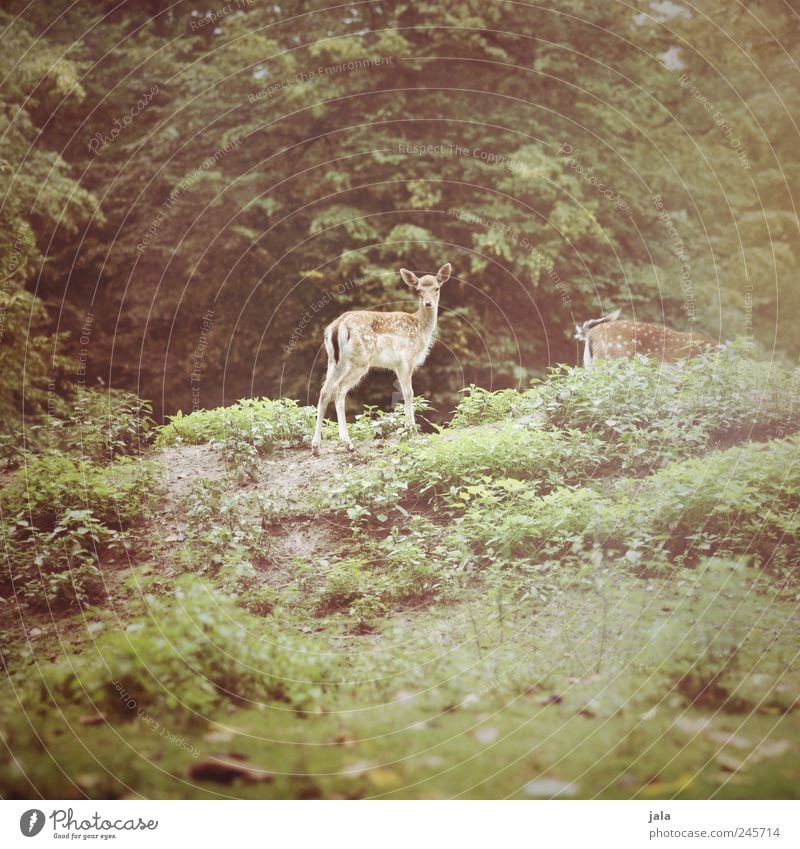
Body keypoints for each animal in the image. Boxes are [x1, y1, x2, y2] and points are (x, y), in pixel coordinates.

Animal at [310, 262, 454, 454]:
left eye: (436, 288)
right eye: (418, 290)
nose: (428, 303)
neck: (421, 328)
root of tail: (337, 326)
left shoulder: (397, 365)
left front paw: (408, 429)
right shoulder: (406, 360)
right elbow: (409, 393)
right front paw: (412, 431)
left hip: (334, 361)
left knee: (324, 392)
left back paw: (315, 446)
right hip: (360, 360)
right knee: (338, 389)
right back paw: (347, 443)